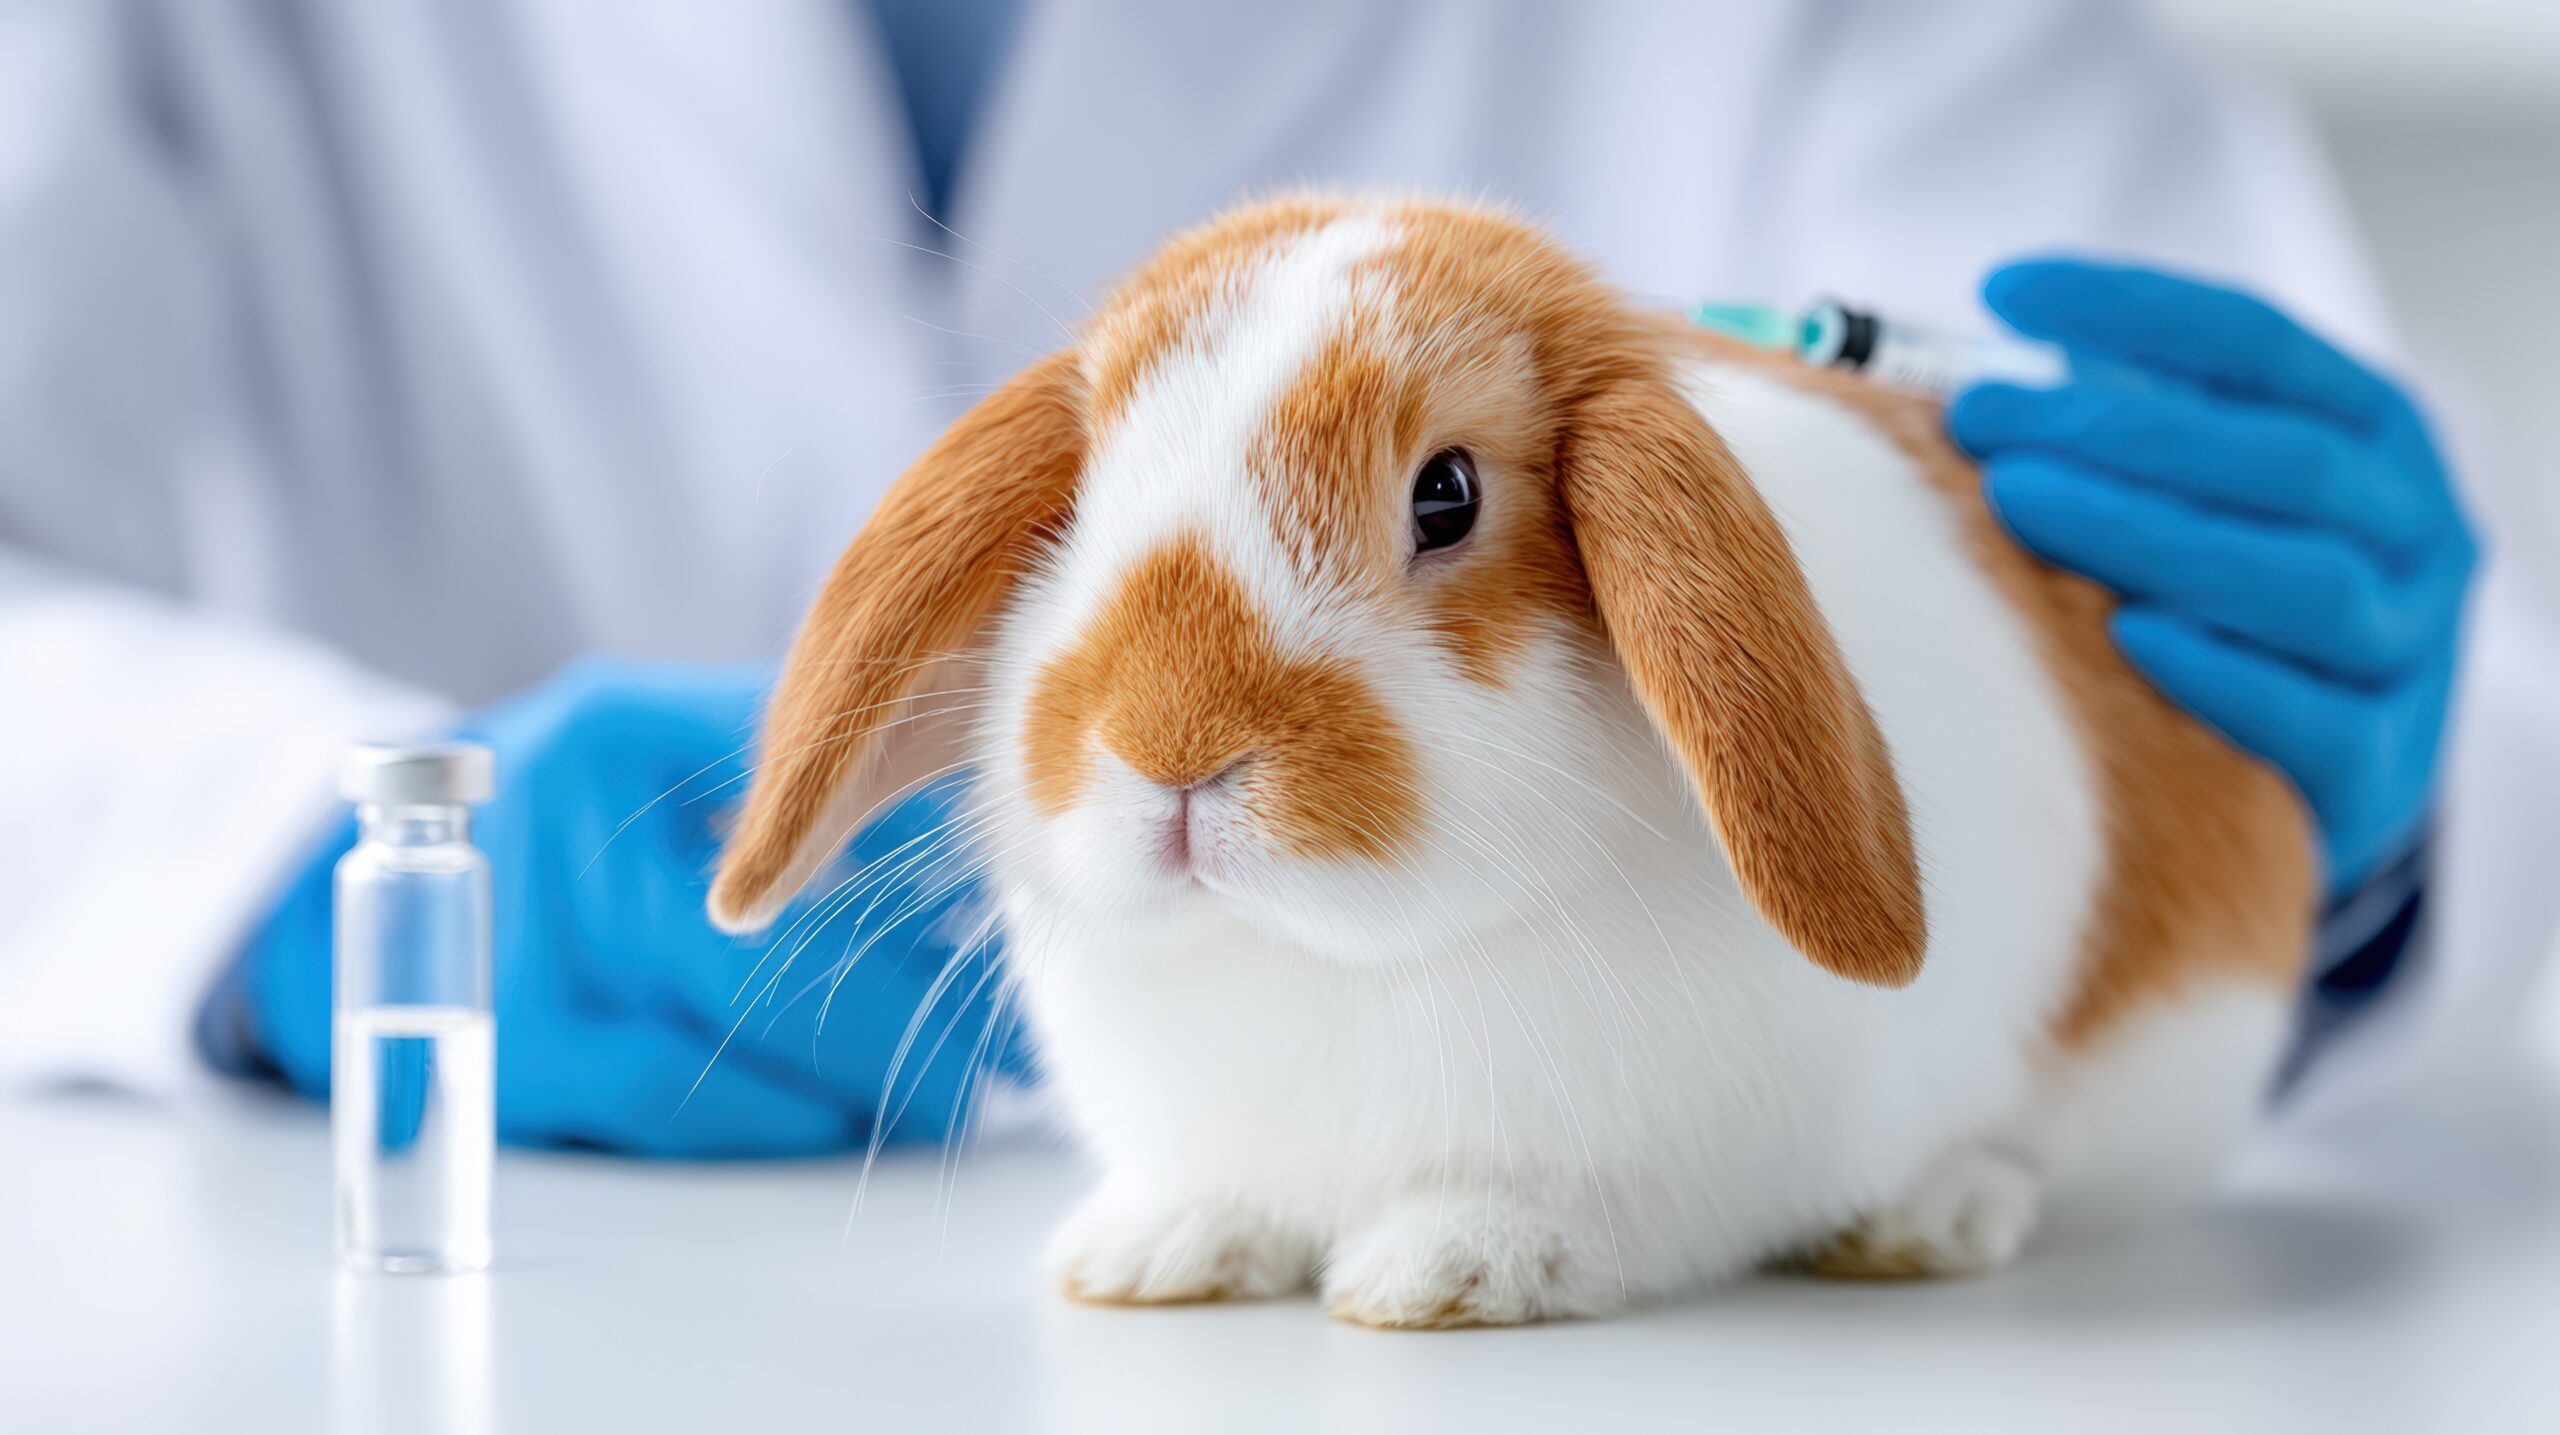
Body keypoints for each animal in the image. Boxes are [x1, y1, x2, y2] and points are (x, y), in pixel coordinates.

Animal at [706, 194, 2314, 1328]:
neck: (1334, 958)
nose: (1171, 745)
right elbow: (1217, 1196)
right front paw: (1152, 1250)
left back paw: (1930, 1219)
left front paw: (1446, 1271)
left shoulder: (1691, 1162)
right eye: (1085, 497)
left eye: (1447, 495)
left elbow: (1571, 1218)